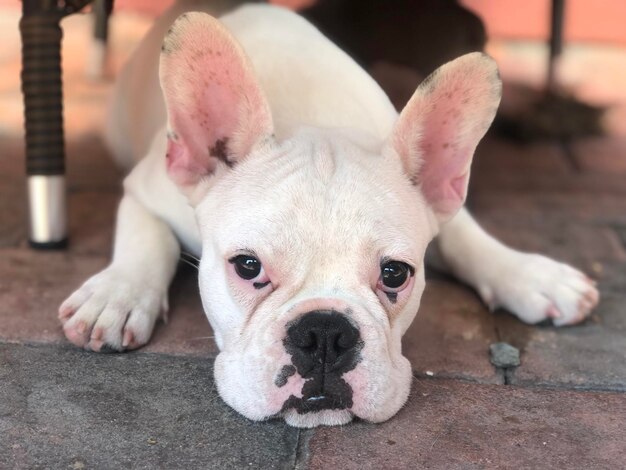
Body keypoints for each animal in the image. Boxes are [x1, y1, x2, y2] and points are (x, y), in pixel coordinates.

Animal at [57, 1, 596, 428]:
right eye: (247, 267)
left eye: (396, 274)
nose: (324, 335)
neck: (311, 117)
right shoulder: (146, 188)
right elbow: (146, 240)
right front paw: (116, 296)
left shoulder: (442, 207)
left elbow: (467, 238)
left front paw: (532, 275)